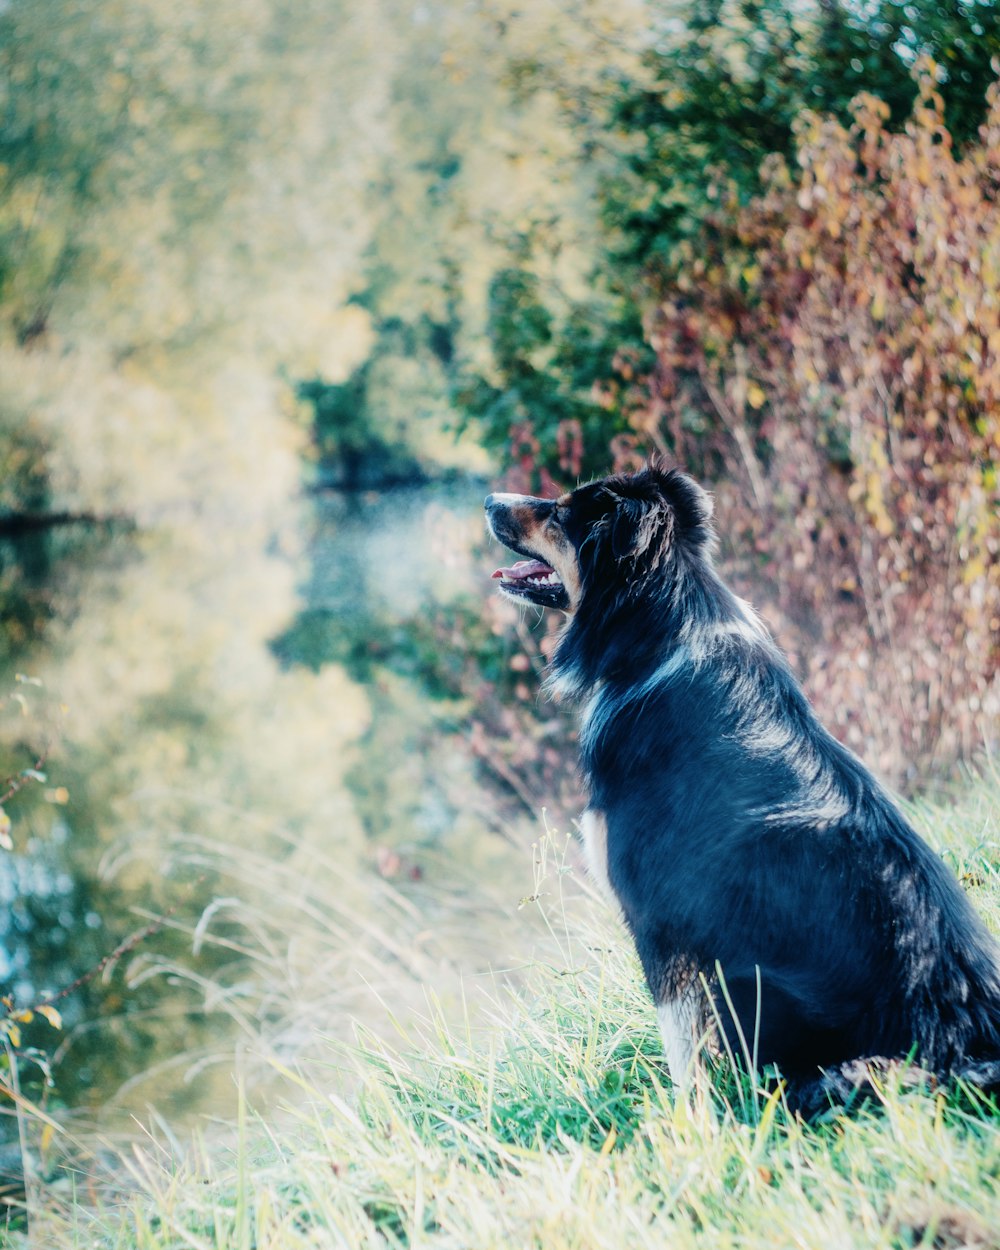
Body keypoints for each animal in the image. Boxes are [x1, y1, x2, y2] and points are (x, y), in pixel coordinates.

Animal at [485, 460, 1000, 1115]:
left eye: (561, 512)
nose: (489, 500)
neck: (657, 632)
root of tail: (966, 1049)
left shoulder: (662, 921)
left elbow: (682, 1045)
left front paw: (687, 1125)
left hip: (757, 989)